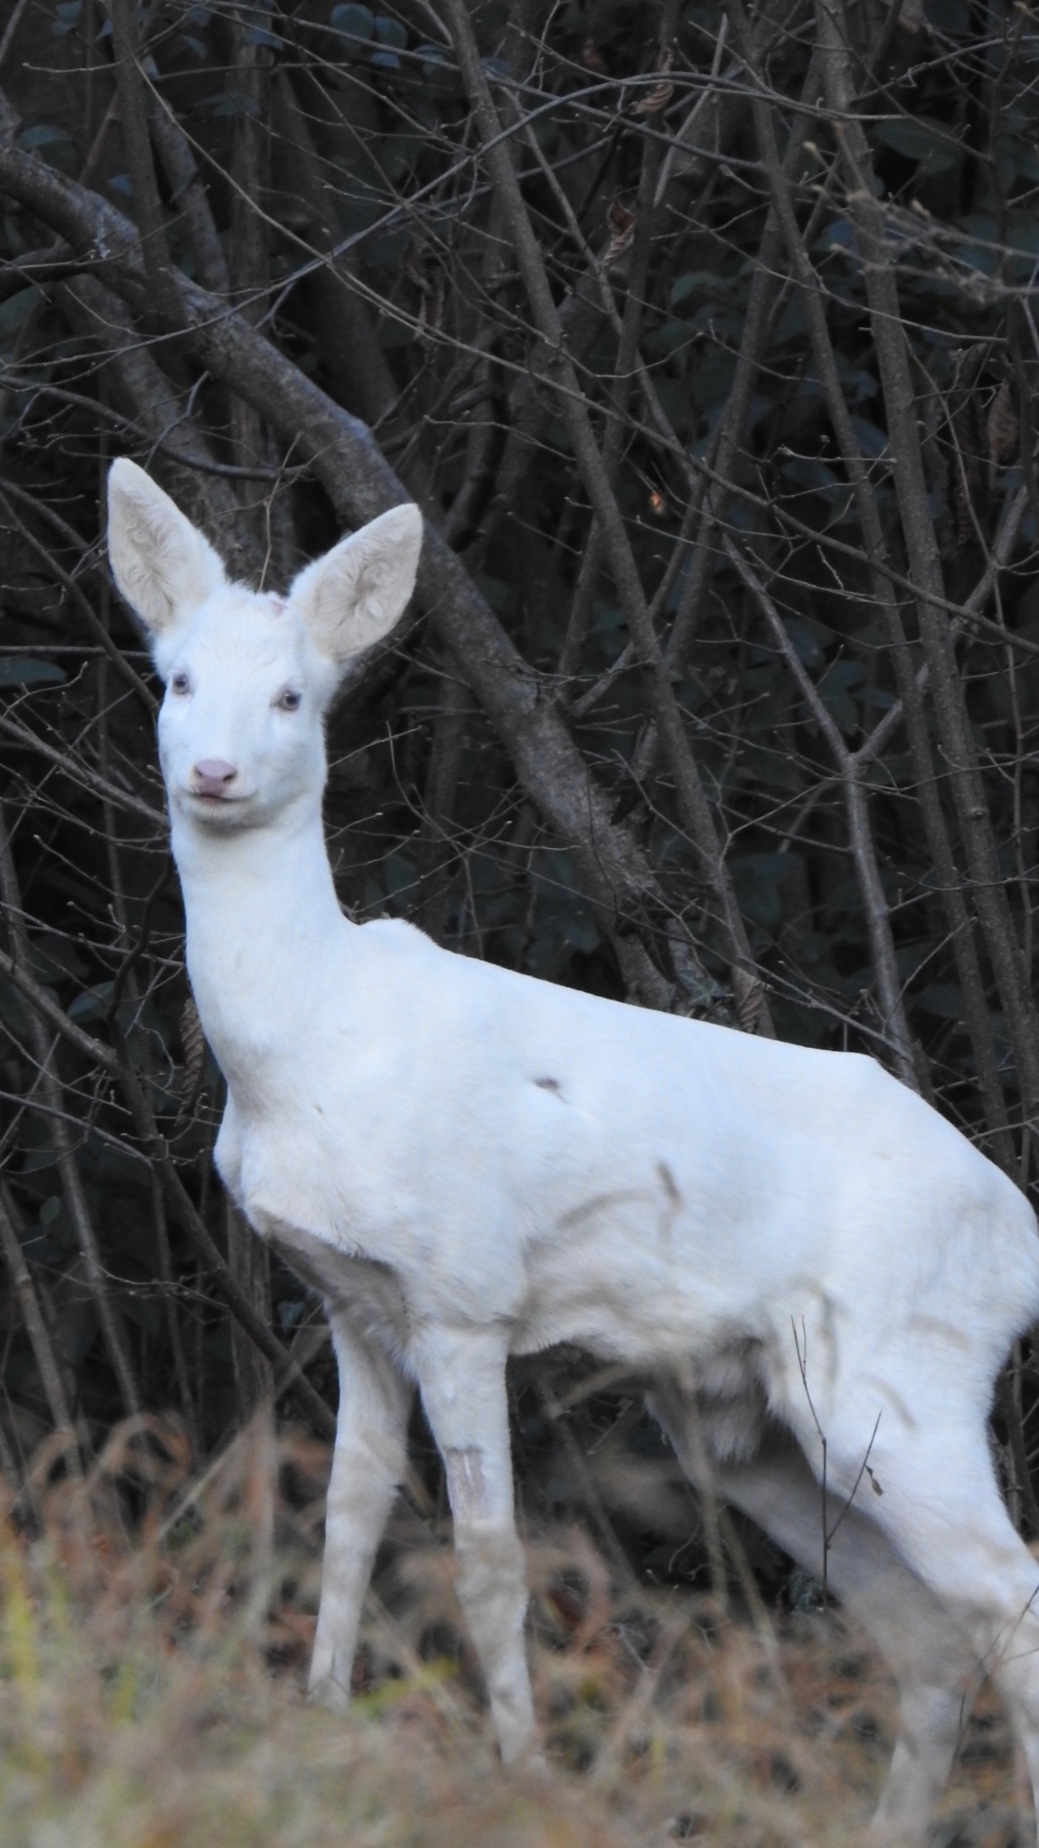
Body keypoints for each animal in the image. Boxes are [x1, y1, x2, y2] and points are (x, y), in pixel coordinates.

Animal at [107, 455, 1039, 1845]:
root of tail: (1017, 1238)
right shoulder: (351, 1301)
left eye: (292, 694)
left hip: (899, 1377)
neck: (310, 1042)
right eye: (174, 678)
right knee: (930, 1638)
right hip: (753, 1422)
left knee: (1008, 1596)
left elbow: (487, 1556)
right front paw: (319, 1725)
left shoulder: (463, 1292)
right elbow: (345, 1519)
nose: (212, 771)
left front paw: (522, 1776)